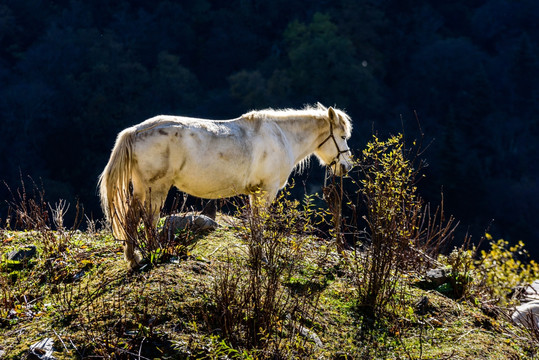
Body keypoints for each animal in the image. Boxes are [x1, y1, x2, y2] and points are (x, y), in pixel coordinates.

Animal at [100, 103, 354, 268]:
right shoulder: (267, 191)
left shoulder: (255, 192)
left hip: (142, 189)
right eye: (342, 136)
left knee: (133, 217)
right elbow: (259, 224)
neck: (281, 136)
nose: (346, 166)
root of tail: (135, 131)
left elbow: (254, 223)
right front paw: (261, 257)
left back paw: (133, 258)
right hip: (156, 188)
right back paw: (153, 253)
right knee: (149, 219)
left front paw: (255, 254)